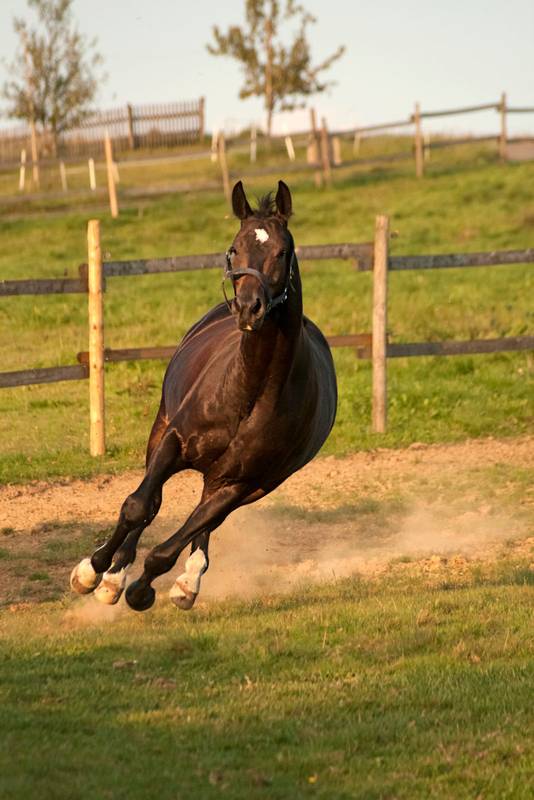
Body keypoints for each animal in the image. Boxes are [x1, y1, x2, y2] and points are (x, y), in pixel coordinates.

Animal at [70, 180, 337, 612]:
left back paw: (186, 581)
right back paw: (113, 575)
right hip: (160, 429)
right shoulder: (173, 441)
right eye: (234, 249)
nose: (248, 308)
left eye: (282, 251)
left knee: (202, 522)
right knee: (152, 505)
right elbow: (138, 506)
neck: (248, 395)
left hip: (244, 486)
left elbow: (169, 548)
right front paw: (93, 573)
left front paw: (145, 589)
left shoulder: (240, 484)